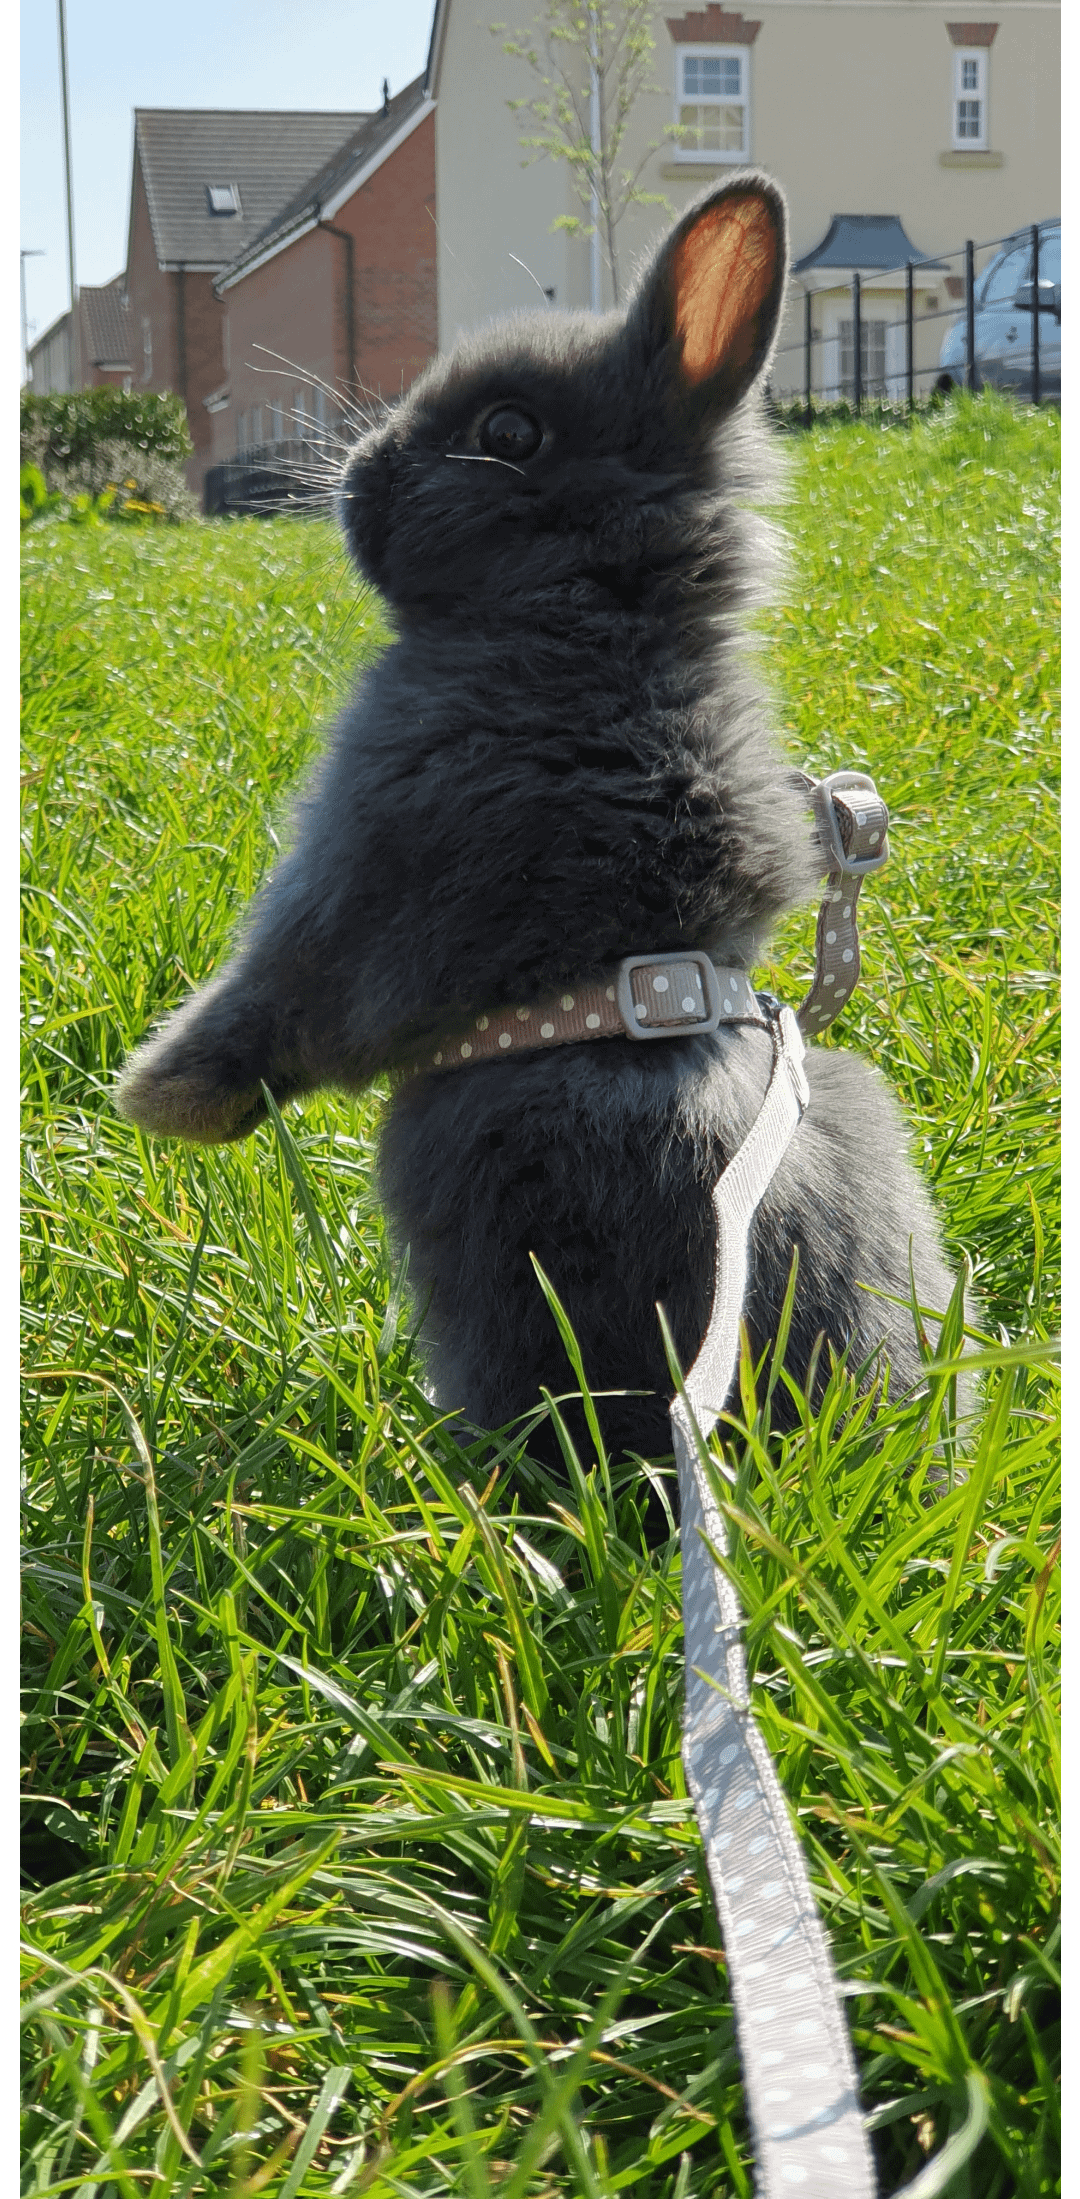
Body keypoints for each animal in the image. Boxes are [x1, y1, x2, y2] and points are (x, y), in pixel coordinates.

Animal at [117, 172, 962, 1474]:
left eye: (509, 433)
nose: (362, 463)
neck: (589, 614)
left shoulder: (355, 871)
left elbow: (272, 1002)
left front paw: (155, 1102)